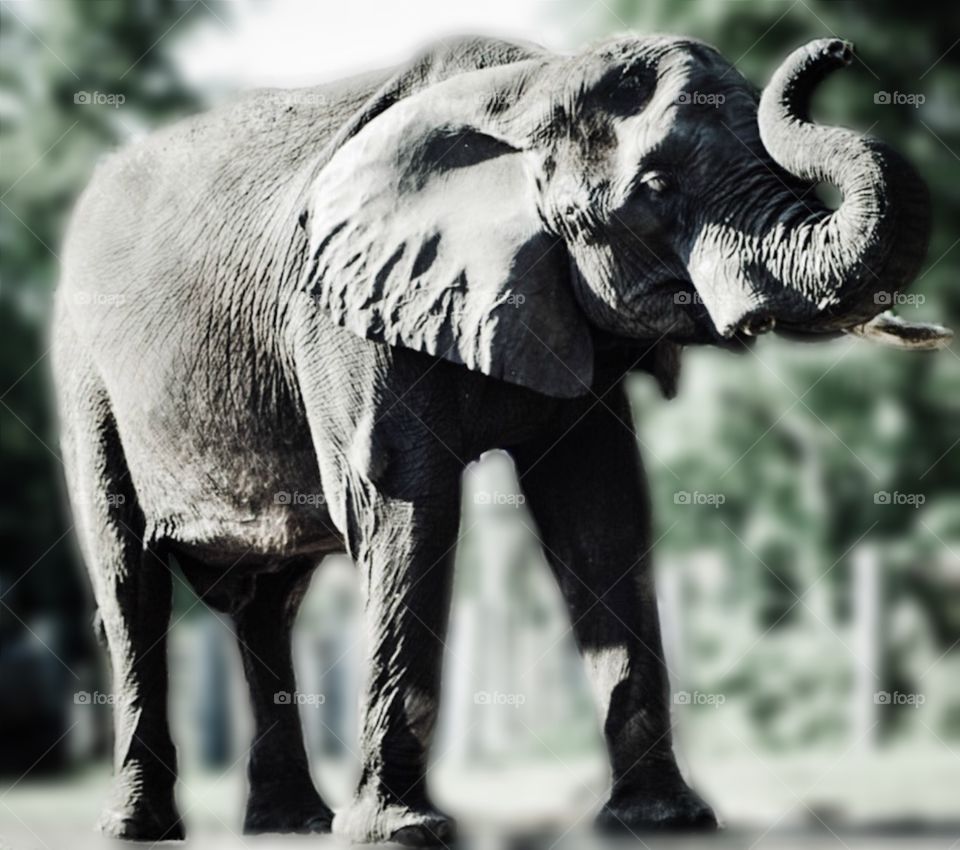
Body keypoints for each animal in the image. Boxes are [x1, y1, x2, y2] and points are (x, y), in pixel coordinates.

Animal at [52, 32, 950, 845]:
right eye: (656, 188)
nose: (839, 50)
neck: (530, 90)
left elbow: (599, 511)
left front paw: (664, 821)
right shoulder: (346, 305)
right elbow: (403, 508)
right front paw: (401, 833)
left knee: (268, 601)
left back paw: (290, 825)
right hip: (83, 373)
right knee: (130, 585)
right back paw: (142, 828)